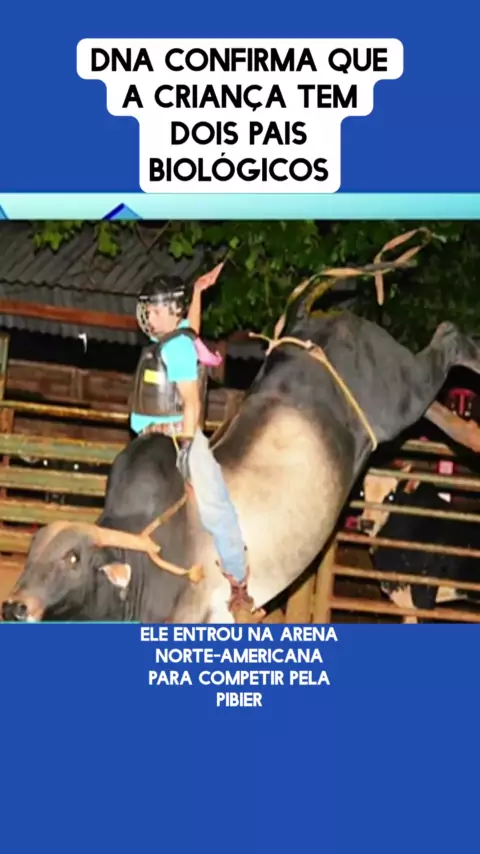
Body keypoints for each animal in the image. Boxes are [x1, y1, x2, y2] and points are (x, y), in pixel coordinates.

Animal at [5, 310, 480, 623]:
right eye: (31, 555)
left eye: (73, 558)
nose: (14, 606)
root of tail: (335, 319)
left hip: (400, 394)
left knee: (448, 336)